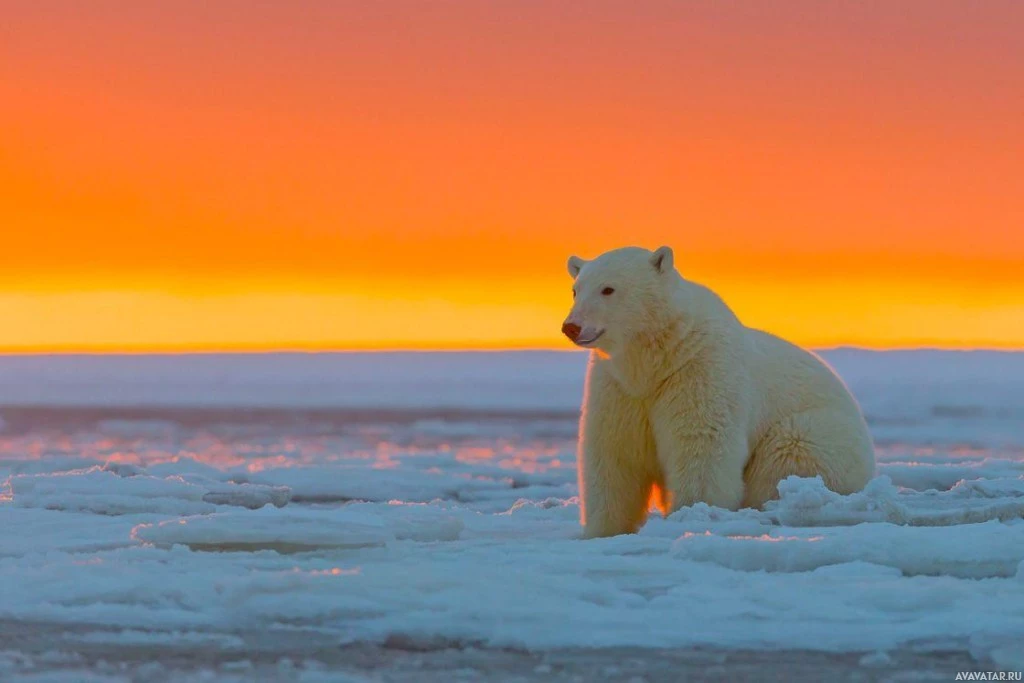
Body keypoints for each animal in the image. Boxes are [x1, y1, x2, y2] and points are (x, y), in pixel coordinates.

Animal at [565, 245, 876, 540]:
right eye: (576, 290)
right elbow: (613, 452)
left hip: (820, 436)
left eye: (608, 288)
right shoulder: (618, 386)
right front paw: (603, 530)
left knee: (788, 453)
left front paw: (693, 514)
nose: (571, 326)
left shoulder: (699, 369)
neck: (656, 359)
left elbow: (701, 445)